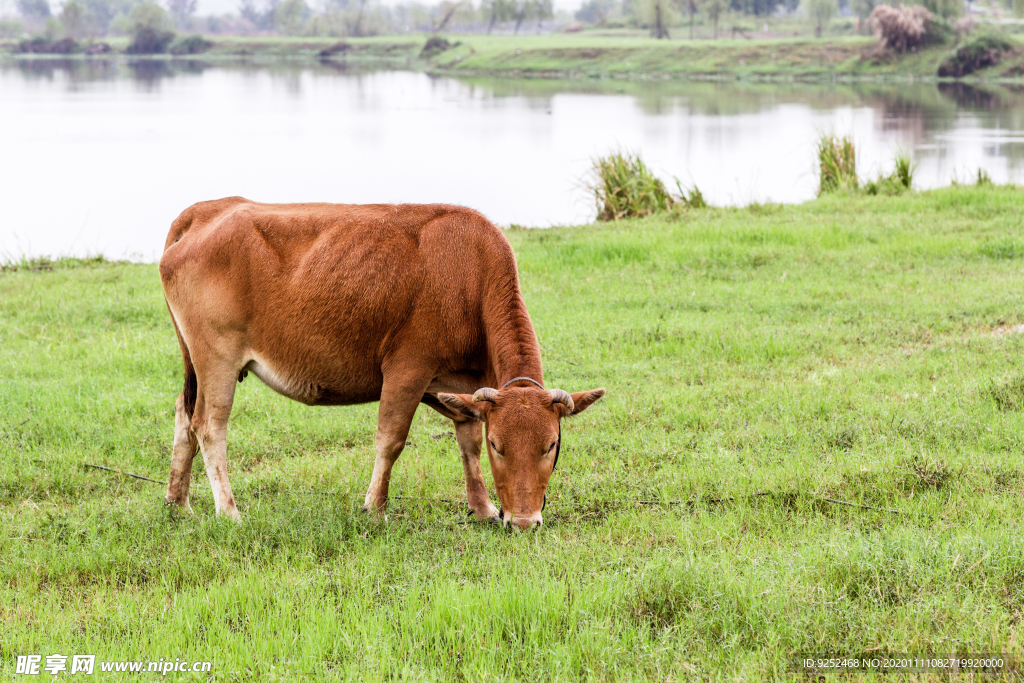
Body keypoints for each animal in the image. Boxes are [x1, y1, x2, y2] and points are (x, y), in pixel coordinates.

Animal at [158, 196, 602, 528]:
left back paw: (178, 503)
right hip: (217, 357)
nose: (525, 521)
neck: (470, 275)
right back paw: (229, 511)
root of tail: (207, 211)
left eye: (551, 444)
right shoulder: (408, 368)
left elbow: (467, 439)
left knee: (184, 413)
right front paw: (375, 509)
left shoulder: (460, 387)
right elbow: (392, 439)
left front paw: (483, 508)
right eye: (500, 445)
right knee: (208, 425)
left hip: (194, 360)